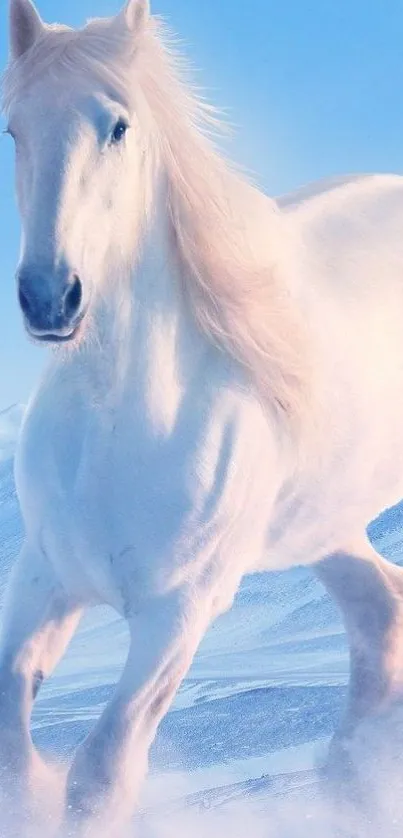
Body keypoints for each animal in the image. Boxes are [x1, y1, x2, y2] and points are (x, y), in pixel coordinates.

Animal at [2, 0, 403, 836]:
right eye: (14, 129)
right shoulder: (41, 580)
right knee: (381, 610)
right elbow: (17, 757)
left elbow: (102, 771)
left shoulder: (177, 614)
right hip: (322, 521)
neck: (119, 426)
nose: (50, 298)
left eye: (117, 127)